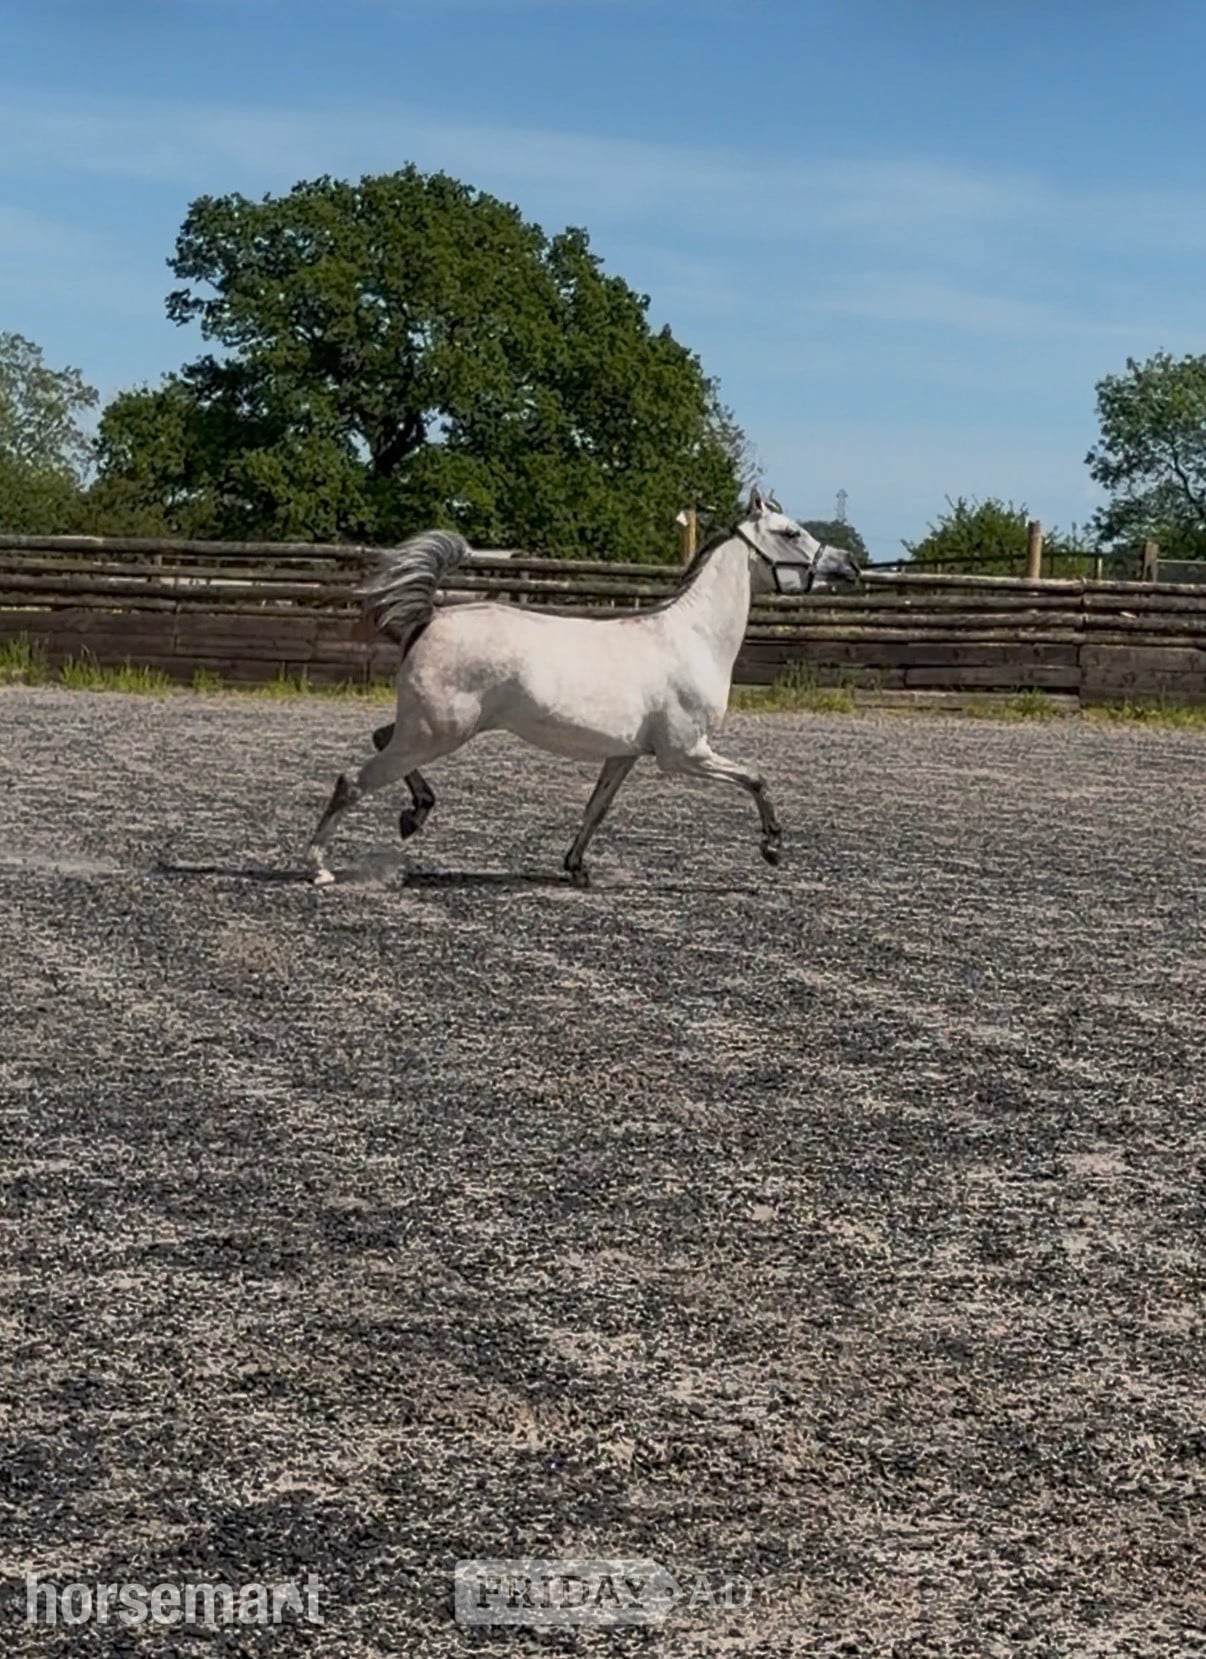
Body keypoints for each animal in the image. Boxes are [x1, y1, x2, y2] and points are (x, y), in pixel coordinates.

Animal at [307, 491, 861, 887]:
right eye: (790, 532)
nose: (850, 566)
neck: (693, 638)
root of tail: (431, 618)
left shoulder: (624, 754)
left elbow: (597, 808)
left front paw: (576, 867)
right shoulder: (685, 753)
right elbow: (757, 779)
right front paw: (772, 847)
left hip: (426, 729)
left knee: (379, 739)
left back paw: (415, 813)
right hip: (436, 732)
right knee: (351, 780)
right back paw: (319, 866)